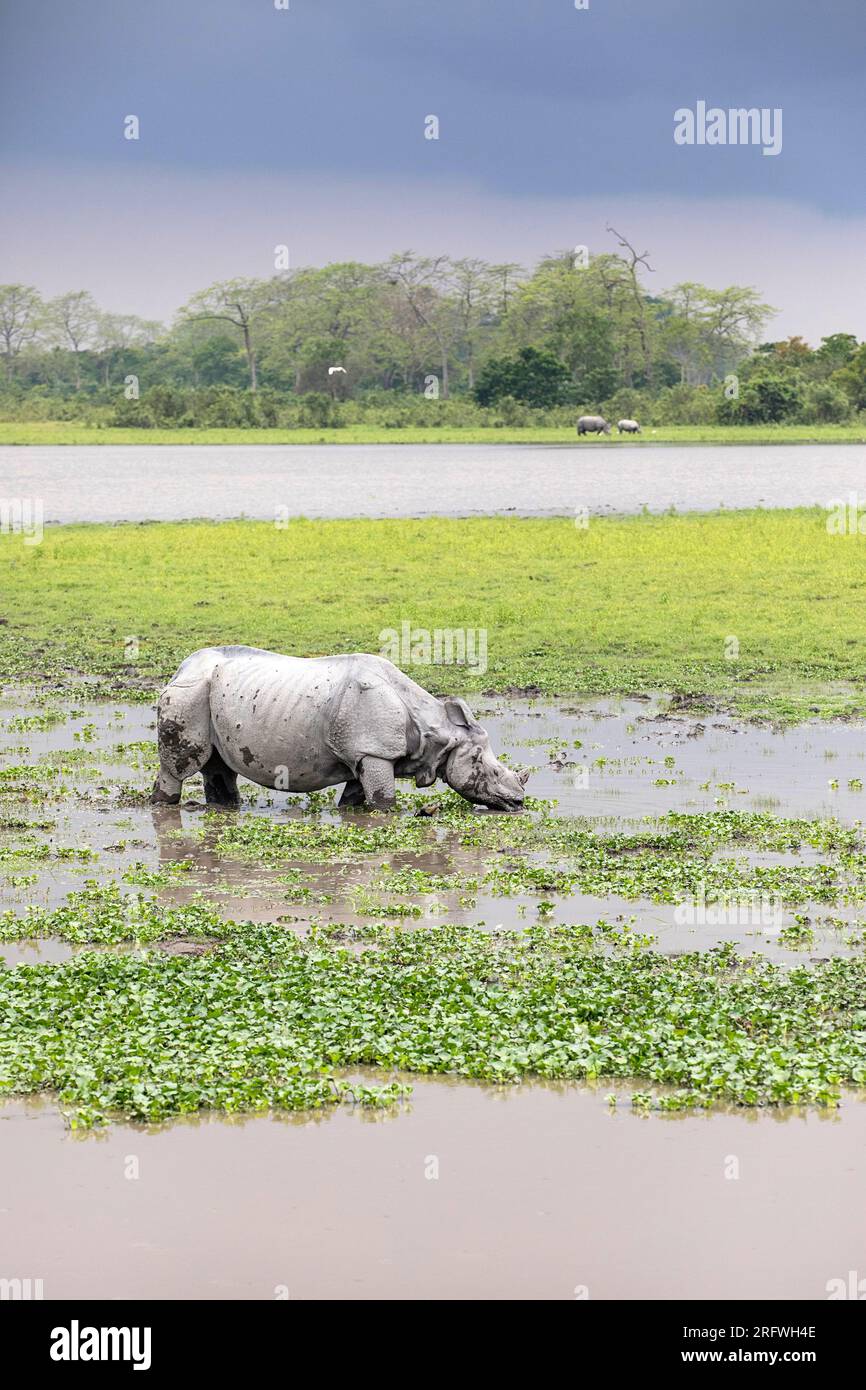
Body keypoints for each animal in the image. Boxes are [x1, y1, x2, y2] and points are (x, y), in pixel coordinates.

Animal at [151, 646, 529, 812]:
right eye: (489, 768)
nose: (519, 801)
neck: (437, 730)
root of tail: (181, 667)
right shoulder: (374, 751)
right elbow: (384, 801)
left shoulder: (364, 753)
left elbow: (355, 796)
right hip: (188, 694)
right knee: (179, 767)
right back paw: (165, 805)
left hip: (213, 694)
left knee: (218, 767)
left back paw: (225, 809)